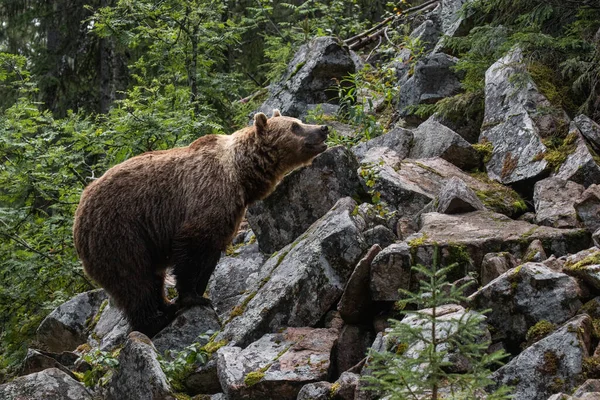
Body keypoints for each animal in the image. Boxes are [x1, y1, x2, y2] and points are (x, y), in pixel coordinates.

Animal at [74, 110, 332, 338]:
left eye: (299, 120)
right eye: (295, 126)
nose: (323, 128)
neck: (240, 175)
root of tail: (78, 213)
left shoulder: (230, 213)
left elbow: (211, 254)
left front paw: (199, 293)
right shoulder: (206, 196)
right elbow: (192, 248)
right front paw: (194, 298)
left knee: (151, 277)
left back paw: (165, 305)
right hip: (119, 233)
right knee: (133, 280)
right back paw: (155, 321)